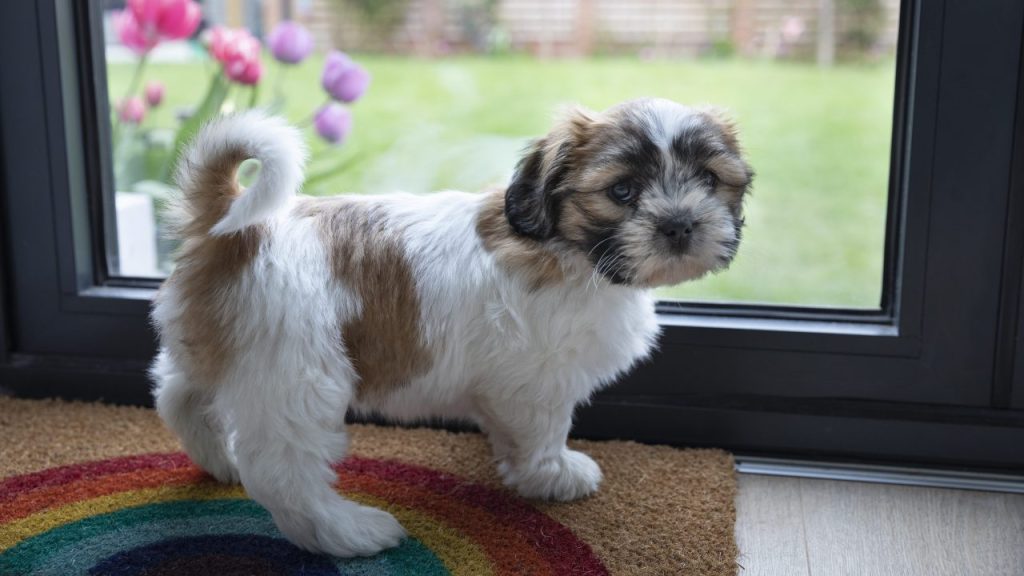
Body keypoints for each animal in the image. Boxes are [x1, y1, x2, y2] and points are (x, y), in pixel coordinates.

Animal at [151, 96, 757, 553]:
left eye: (709, 179)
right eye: (623, 191)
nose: (680, 225)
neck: (566, 250)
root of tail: (235, 228)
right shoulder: (538, 380)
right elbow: (544, 429)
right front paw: (553, 474)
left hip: (224, 347)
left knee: (178, 395)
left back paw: (220, 459)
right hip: (296, 376)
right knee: (284, 471)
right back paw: (348, 531)